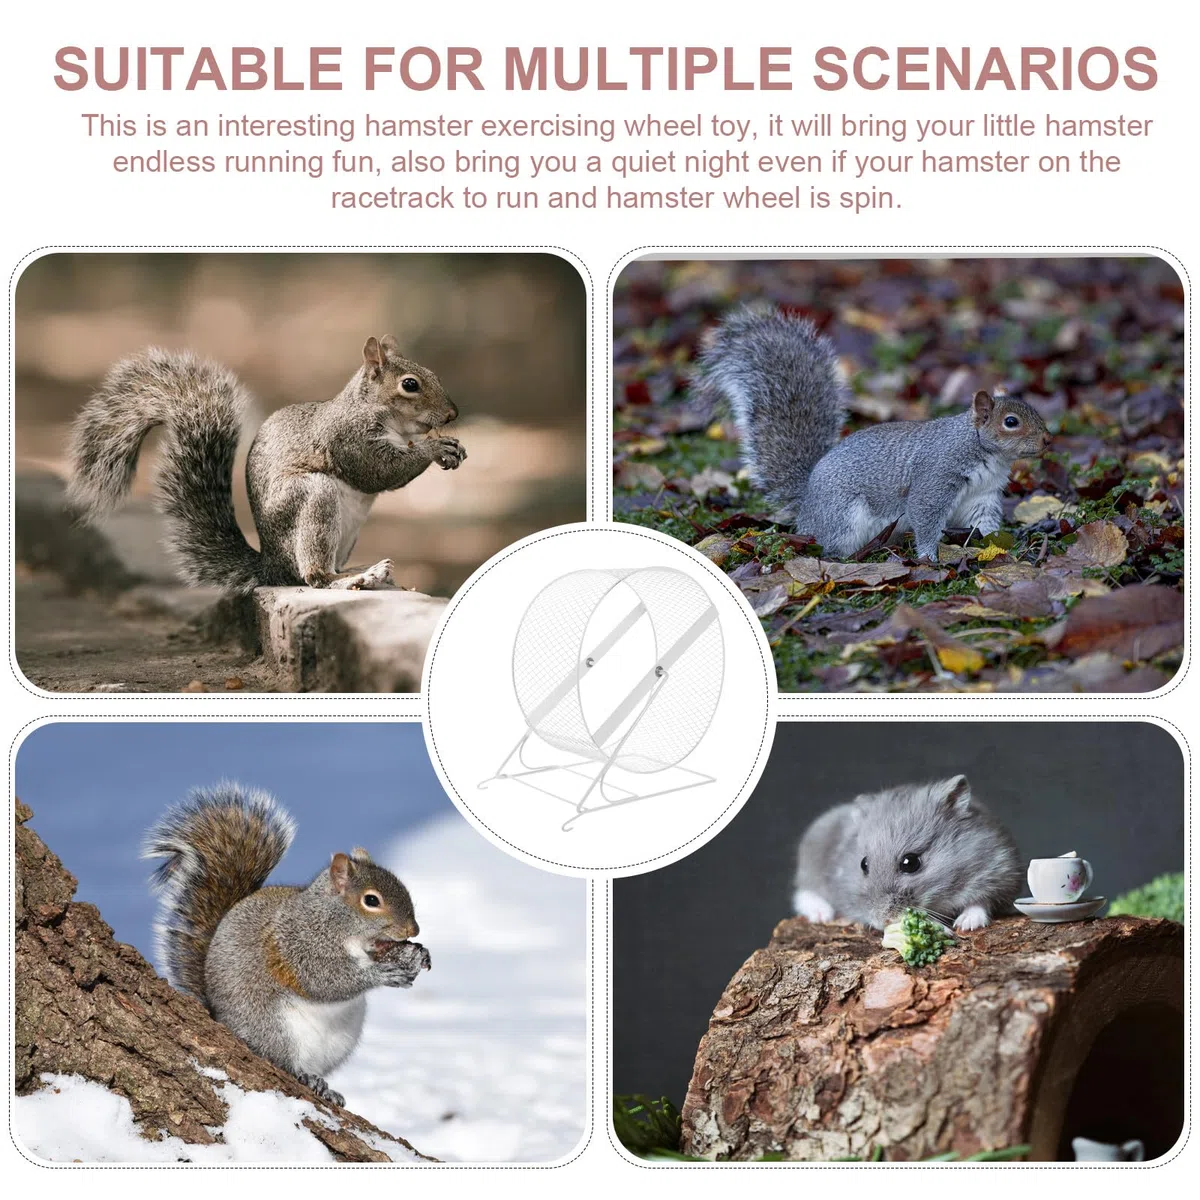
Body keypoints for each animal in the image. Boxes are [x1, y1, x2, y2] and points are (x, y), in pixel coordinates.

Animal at [66, 335, 467, 593]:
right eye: (410, 385)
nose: (452, 414)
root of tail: (271, 565)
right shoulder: (346, 438)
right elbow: (376, 471)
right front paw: (434, 447)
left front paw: (452, 447)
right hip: (313, 499)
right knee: (314, 577)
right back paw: (350, 578)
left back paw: (360, 572)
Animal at [143, 783, 431, 1107]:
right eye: (371, 900)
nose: (413, 929)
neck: (332, 920)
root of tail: (218, 1017)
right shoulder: (296, 945)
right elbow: (324, 980)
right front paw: (382, 974)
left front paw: (419, 955)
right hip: (272, 1028)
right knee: (280, 1060)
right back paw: (304, 1075)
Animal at [694, 305, 1050, 561]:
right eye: (1011, 422)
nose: (1048, 440)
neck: (984, 451)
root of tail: (807, 502)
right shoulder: (936, 477)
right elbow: (924, 515)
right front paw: (929, 557)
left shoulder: (982, 496)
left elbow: (984, 524)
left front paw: (997, 546)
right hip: (843, 517)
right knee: (832, 543)